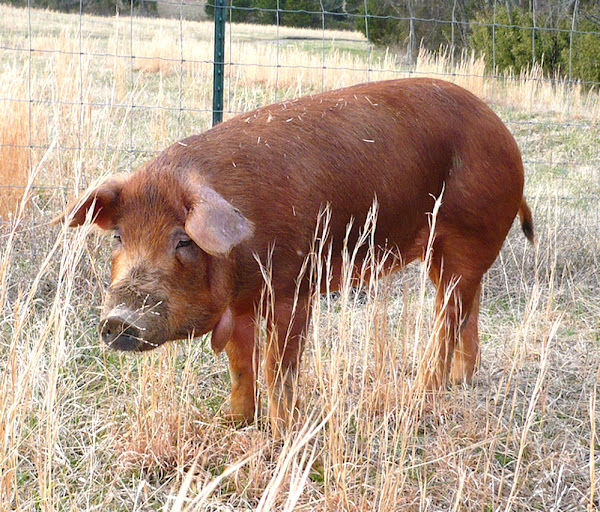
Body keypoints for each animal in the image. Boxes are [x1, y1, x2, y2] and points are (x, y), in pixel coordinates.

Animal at [56, 77, 536, 436]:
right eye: (119, 236)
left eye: (183, 241)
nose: (119, 319)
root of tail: (506, 135)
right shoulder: (242, 303)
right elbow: (240, 364)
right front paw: (233, 421)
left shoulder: (292, 287)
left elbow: (277, 368)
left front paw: (285, 432)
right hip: (445, 252)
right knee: (468, 306)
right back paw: (461, 380)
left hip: (467, 233)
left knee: (448, 317)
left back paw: (418, 398)